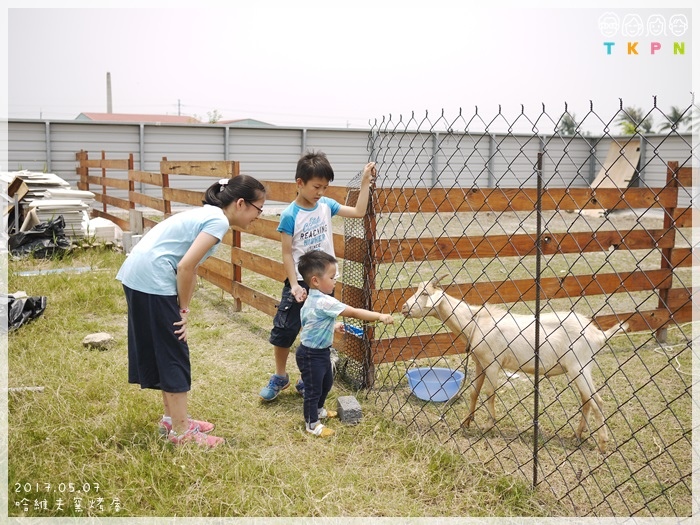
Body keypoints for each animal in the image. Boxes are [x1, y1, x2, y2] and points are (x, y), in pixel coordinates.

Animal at [400, 274, 628, 454]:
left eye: (425, 293)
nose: (403, 307)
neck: (475, 322)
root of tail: (598, 334)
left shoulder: (492, 362)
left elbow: (489, 393)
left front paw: (488, 425)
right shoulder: (480, 362)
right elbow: (474, 392)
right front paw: (466, 421)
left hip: (579, 365)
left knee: (597, 401)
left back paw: (602, 444)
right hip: (579, 368)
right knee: (587, 400)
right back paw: (577, 434)